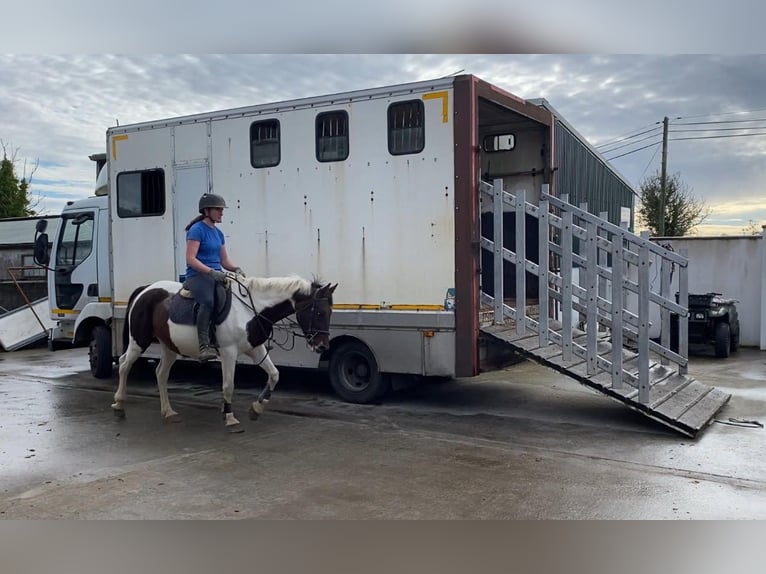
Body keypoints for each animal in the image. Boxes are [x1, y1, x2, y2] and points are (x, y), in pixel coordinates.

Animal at [112, 274, 338, 432]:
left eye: (330, 313)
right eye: (320, 312)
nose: (322, 346)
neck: (250, 311)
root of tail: (146, 289)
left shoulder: (256, 349)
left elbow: (274, 375)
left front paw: (257, 408)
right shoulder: (229, 352)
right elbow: (229, 385)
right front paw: (230, 416)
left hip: (169, 346)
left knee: (161, 374)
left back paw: (167, 411)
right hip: (139, 340)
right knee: (124, 364)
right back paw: (119, 404)